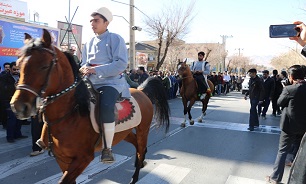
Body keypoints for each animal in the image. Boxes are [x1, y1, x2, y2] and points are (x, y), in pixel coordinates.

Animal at [11, 29, 170, 183]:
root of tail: (141, 90)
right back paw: (141, 164)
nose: (18, 106)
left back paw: (134, 176)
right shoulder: (62, 159)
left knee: (141, 149)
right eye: (18, 64)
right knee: (137, 146)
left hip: (143, 130)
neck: (70, 114)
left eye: (44, 66)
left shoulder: (83, 159)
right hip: (125, 132)